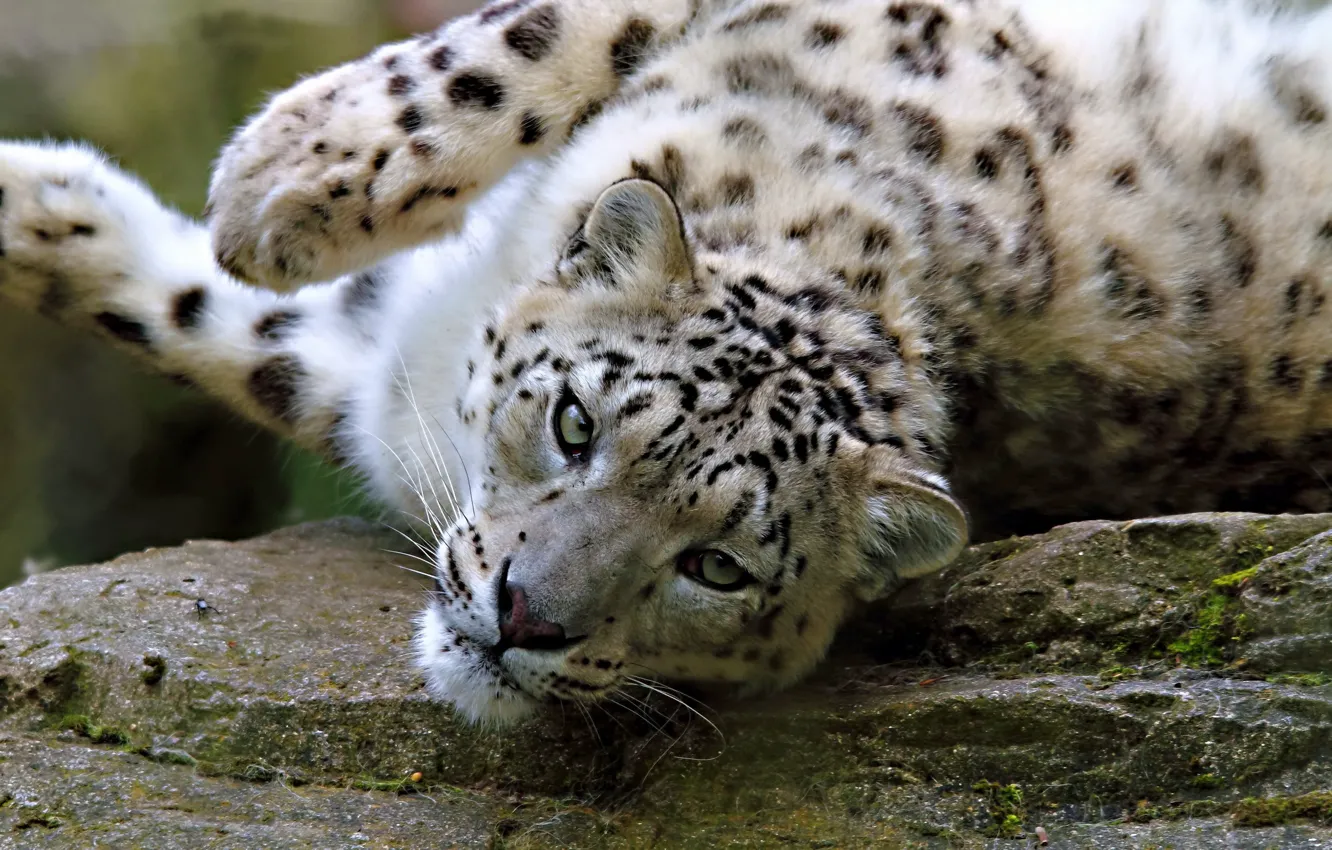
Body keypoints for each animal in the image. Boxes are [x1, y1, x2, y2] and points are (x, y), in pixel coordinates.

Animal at [1, 0, 1330, 725]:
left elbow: (257, 345)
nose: (520, 619)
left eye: (718, 567)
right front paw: (270, 175)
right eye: (575, 423)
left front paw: (272, 180)